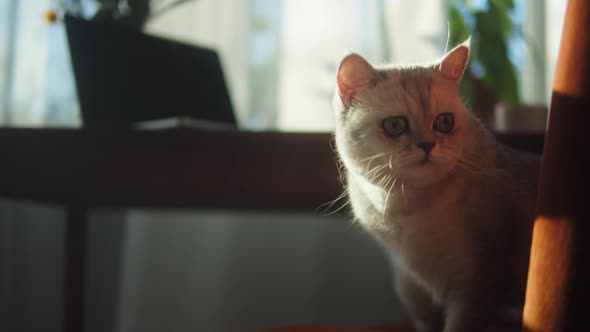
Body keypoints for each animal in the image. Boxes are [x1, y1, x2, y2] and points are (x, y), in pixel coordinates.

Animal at [332, 39, 540, 332]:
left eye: (444, 122)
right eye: (395, 125)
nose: (428, 145)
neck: (408, 209)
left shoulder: (476, 286)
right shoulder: (415, 293)